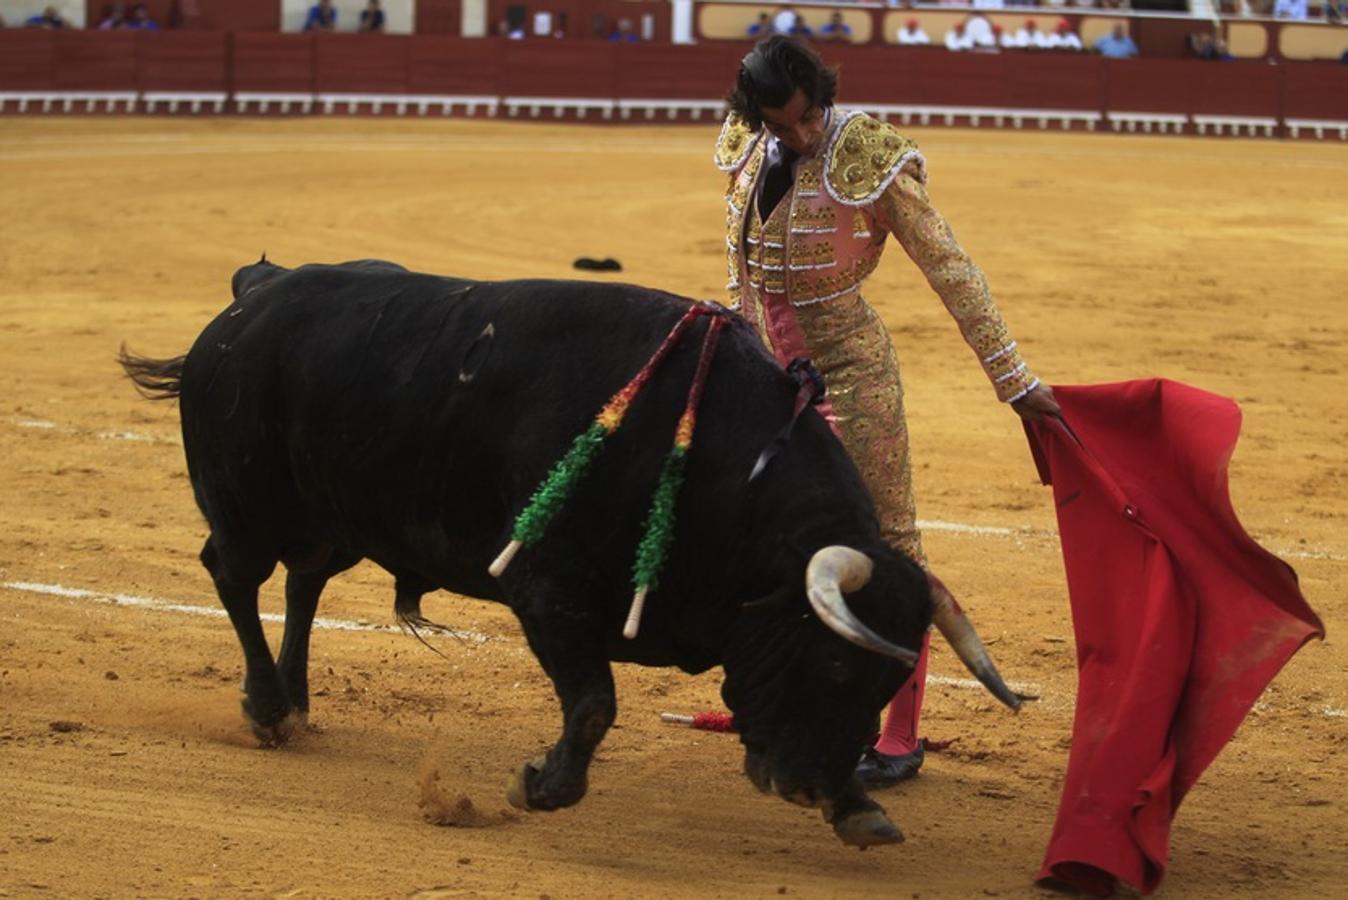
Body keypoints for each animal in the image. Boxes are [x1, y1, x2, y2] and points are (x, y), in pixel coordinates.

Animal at [124, 255, 1013, 846]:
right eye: (830, 664)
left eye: (889, 680)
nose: (810, 788)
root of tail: (257, 295)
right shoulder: (550, 596)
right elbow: (593, 705)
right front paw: (539, 787)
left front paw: (864, 808)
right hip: (249, 504)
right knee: (234, 575)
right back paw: (268, 708)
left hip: (338, 520)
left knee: (302, 584)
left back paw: (297, 699)